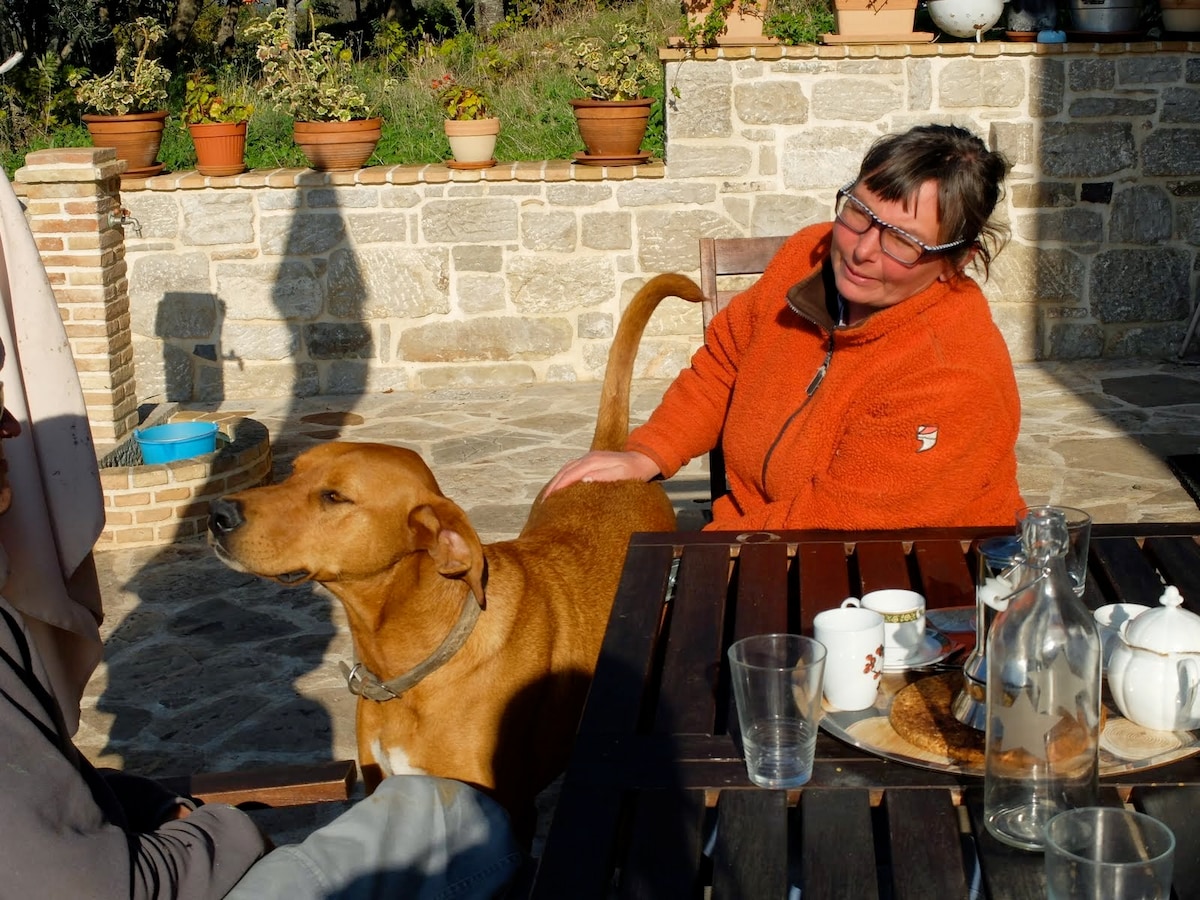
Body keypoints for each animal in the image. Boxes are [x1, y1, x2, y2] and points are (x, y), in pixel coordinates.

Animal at [211, 271, 705, 844]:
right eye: (292, 473)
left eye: (334, 497)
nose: (217, 513)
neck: (406, 661)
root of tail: (612, 455)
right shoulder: (387, 791)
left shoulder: (507, 815)